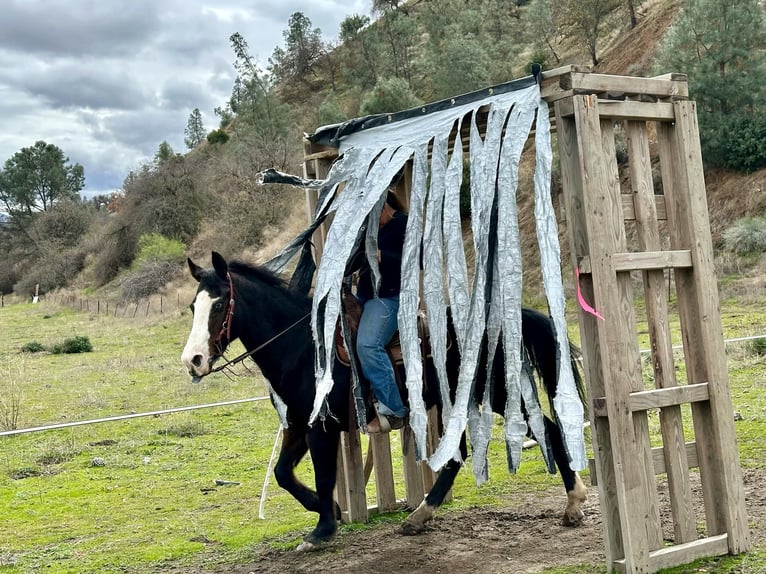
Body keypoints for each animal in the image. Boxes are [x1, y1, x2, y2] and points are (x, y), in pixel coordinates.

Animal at [181, 251, 588, 549]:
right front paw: (328, 510)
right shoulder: (297, 423)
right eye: (192, 308)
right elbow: (283, 473)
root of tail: (503, 316)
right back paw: (420, 516)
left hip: (501, 393)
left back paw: (574, 504)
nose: (193, 360)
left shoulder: (321, 427)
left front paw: (322, 529)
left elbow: (324, 475)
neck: (303, 346)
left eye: (220, 304)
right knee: (457, 455)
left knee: (548, 430)